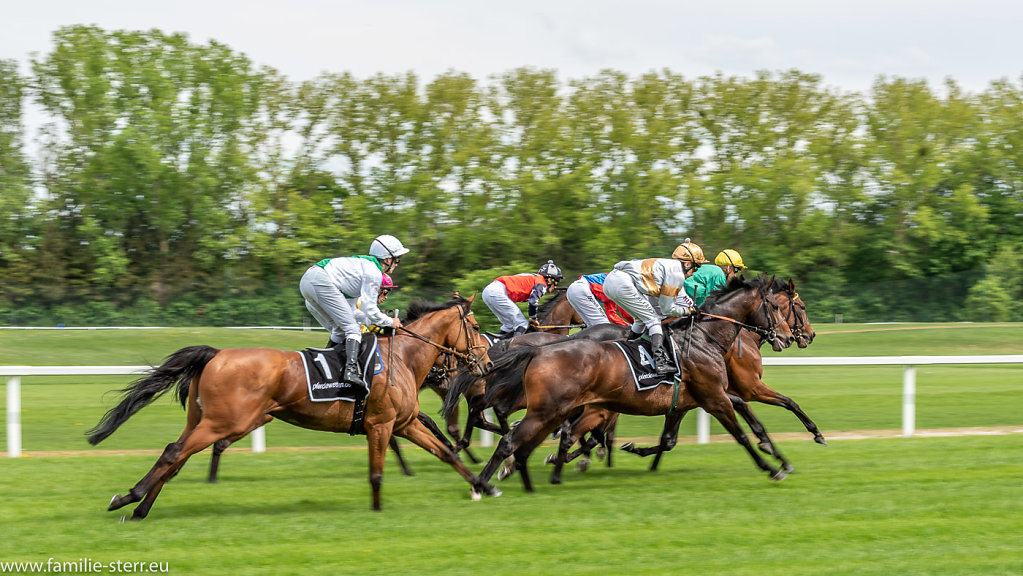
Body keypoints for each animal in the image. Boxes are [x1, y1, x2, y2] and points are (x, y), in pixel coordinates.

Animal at [90, 292, 497, 517]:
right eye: (476, 326)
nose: (488, 363)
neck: (401, 359)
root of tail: (217, 353)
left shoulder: (404, 423)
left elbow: (446, 453)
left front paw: (483, 486)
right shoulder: (380, 425)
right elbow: (377, 472)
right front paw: (377, 509)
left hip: (202, 419)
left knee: (175, 456)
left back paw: (140, 508)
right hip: (225, 422)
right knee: (175, 452)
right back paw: (129, 498)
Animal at [472, 274, 797, 495]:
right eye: (776, 306)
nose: (789, 337)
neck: (703, 338)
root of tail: (539, 351)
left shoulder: (692, 400)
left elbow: (671, 438)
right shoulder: (715, 397)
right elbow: (741, 434)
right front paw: (772, 467)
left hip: (561, 409)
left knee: (537, 439)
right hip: (550, 409)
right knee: (515, 437)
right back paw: (485, 482)